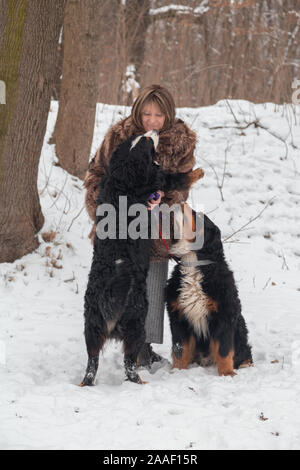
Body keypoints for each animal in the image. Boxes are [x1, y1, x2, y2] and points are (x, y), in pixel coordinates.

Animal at [165, 204, 252, 376]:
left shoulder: (224, 315)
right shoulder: (178, 316)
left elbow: (224, 350)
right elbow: (180, 350)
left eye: (198, 217)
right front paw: (177, 371)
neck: (193, 263)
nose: (182, 203)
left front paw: (227, 373)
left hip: (240, 331)